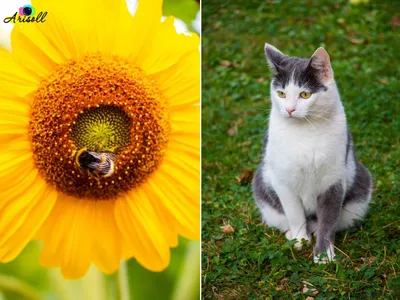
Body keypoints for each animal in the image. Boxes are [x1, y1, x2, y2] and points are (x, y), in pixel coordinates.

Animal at [253, 43, 372, 264]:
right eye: (281, 94)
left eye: (305, 95)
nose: (289, 109)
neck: (306, 131)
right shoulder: (283, 181)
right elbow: (294, 214)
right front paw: (300, 240)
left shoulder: (334, 181)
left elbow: (328, 219)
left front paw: (324, 254)